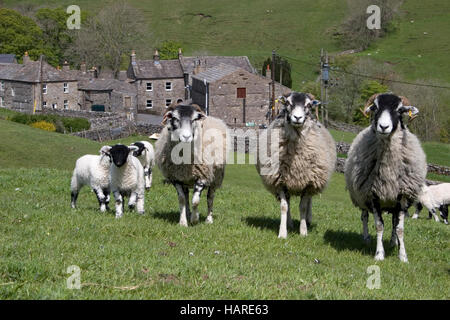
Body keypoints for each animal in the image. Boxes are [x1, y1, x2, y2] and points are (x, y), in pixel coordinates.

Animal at [255, 92, 336, 238]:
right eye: (287, 103)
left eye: (308, 105)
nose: (297, 117)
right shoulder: (280, 181)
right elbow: (284, 207)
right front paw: (282, 233)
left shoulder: (309, 183)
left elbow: (303, 207)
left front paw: (303, 231)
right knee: (288, 202)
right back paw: (290, 223)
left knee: (309, 202)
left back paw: (308, 220)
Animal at [342, 92, 428, 262]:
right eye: (375, 107)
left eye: (400, 110)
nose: (383, 127)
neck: (388, 169)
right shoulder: (373, 195)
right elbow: (379, 225)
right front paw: (379, 254)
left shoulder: (402, 196)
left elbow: (400, 228)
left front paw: (403, 256)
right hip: (361, 197)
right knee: (364, 217)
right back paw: (366, 238)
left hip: (394, 203)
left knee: (394, 222)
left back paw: (394, 242)